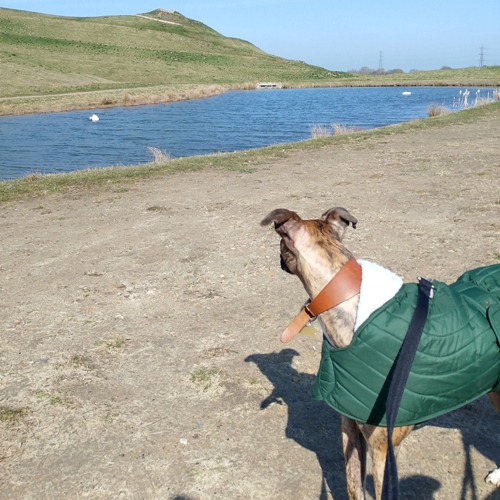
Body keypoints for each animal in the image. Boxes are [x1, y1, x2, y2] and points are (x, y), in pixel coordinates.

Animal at [260, 205, 500, 498]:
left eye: (281, 245)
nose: (279, 261)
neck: (350, 302)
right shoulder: (350, 430)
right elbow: (354, 487)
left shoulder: (383, 449)